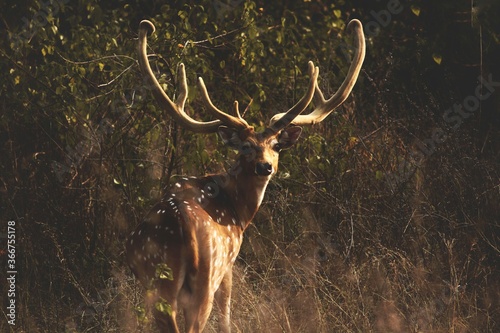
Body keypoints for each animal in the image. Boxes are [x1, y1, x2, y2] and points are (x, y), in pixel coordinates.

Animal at [127, 18, 366, 332]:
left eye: (276, 145)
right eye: (246, 147)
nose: (265, 166)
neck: (238, 210)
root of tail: (183, 228)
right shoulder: (230, 263)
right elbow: (226, 317)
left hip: (154, 278)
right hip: (207, 274)